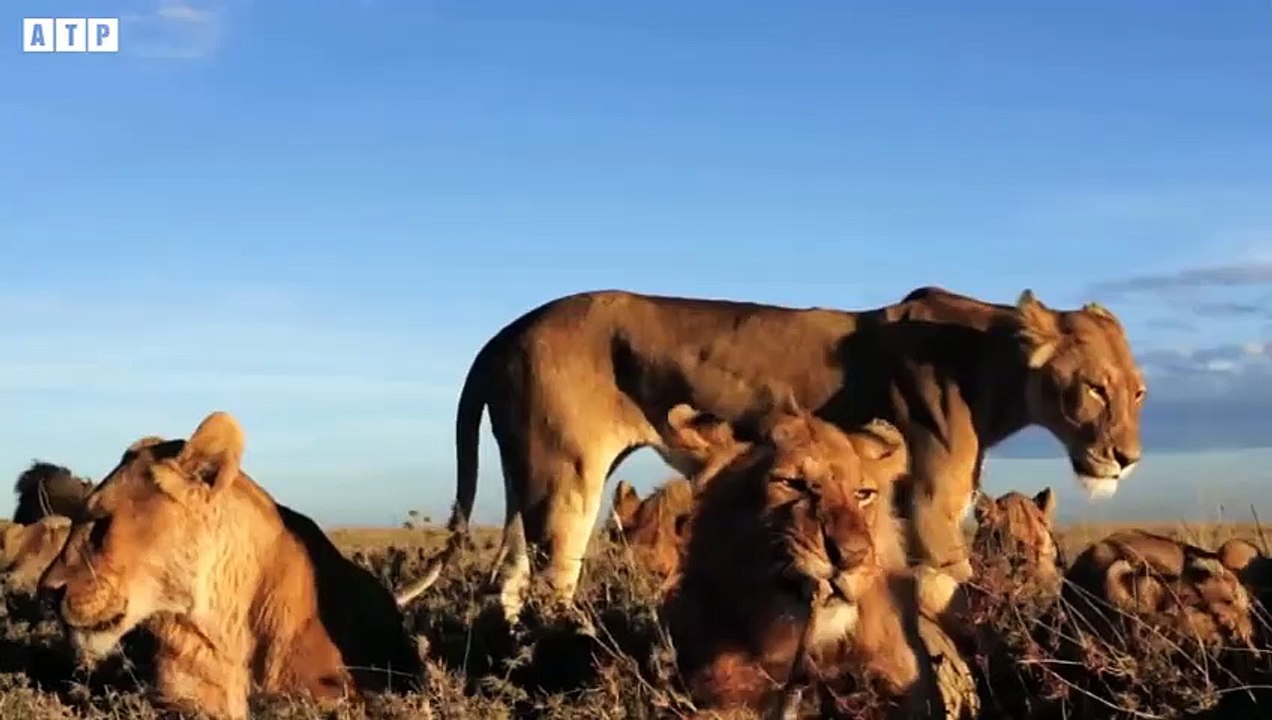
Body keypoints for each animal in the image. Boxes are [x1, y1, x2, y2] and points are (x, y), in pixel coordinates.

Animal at [441, 285, 1146, 619]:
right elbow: (953, 596)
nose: (1127, 458)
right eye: (1094, 388)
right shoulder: (928, 505)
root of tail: (509, 329)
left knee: (506, 581)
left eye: (1138, 392)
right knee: (552, 585)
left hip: (529, 479)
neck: (991, 362)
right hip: (569, 479)